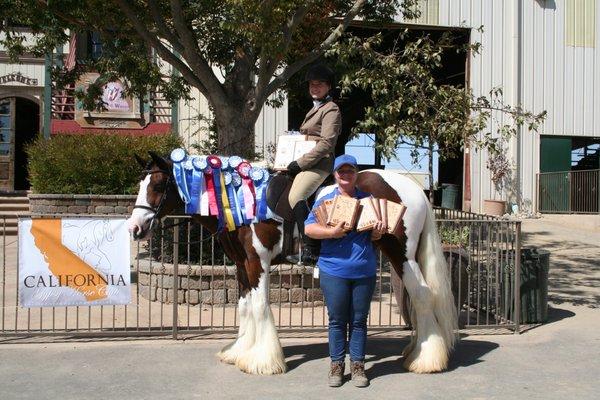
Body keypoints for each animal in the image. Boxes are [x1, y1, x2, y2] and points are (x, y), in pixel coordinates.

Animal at [126, 152, 454, 376]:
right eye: (141, 183)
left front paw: (263, 360)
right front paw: (239, 352)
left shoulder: (258, 261)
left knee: (422, 295)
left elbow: (259, 306)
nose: (135, 229)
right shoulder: (242, 264)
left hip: (401, 253)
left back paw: (425, 359)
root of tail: (414, 190)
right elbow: (244, 306)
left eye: (158, 184)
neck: (237, 200)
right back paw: (415, 350)